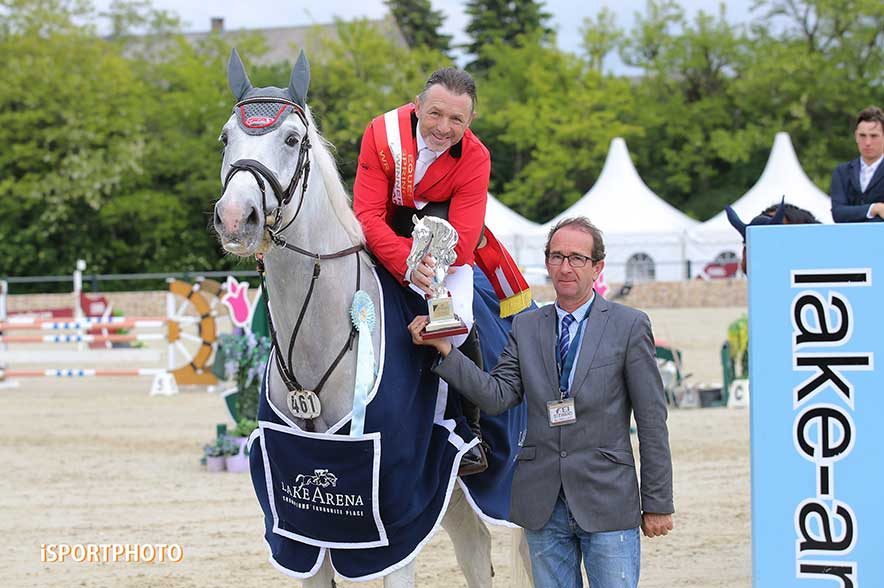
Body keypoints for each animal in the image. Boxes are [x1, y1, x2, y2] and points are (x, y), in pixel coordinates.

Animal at [212, 49, 532, 588]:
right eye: (226, 137)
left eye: (292, 139)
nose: (237, 219)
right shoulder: (302, 526)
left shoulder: (397, 517)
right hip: (449, 489)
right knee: (474, 549)